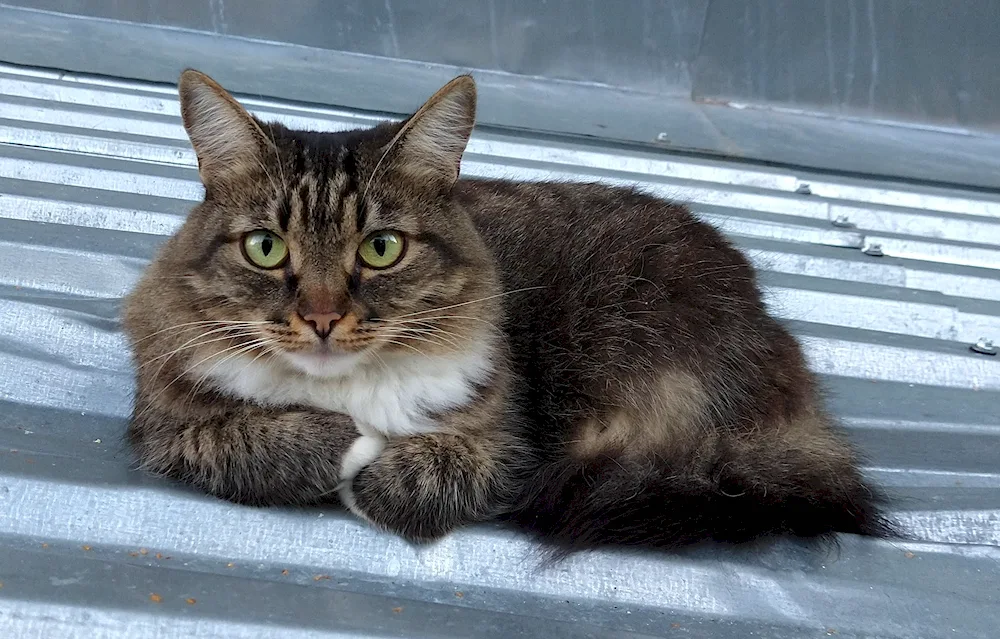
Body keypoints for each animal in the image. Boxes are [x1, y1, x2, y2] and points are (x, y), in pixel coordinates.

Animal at [121, 69, 896, 552]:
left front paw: (370, 467)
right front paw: (337, 442)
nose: (321, 318)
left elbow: (424, 474)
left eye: (380, 248)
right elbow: (248, 439)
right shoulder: (163, 423)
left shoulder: (512, 443)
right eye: (265, 247)